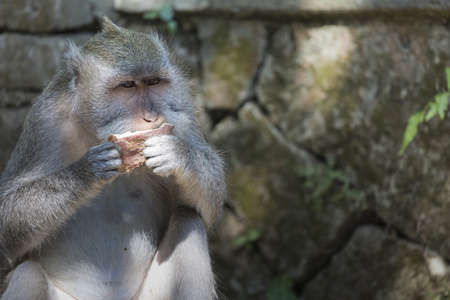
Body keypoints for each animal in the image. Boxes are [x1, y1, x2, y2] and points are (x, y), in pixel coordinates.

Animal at [0, 17, 227, 300]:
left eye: (154, 82)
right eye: (127, 85)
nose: (151, 117)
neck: (93, 129)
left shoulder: (182, 112)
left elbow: (207, 209)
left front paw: (178, 154)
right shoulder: (44, 120)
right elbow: (6, 219)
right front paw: (87, 172)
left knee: (189, 220)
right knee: (28, 274)